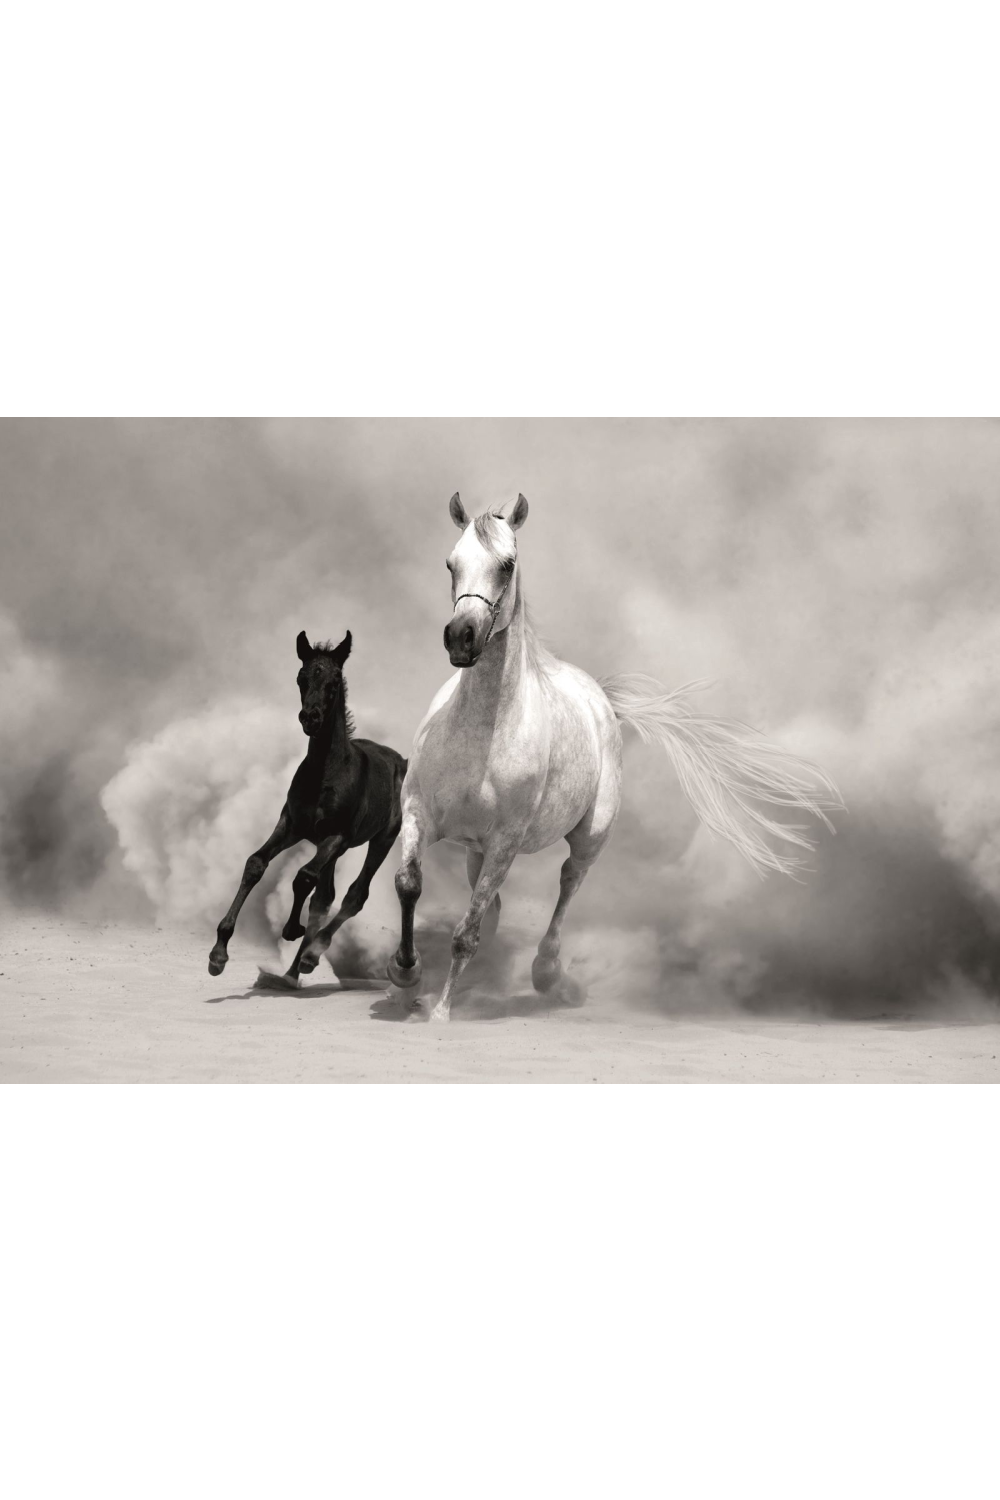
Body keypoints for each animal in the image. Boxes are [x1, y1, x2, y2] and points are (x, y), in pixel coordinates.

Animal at [207, 630, 406, 987]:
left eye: (334, 681)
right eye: (301, 678)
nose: (310, 718)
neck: (325, 773)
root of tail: (400, 759)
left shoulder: (337, 836)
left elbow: (302, 877)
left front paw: (291, 929)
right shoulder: (292, 825)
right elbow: (256, 864)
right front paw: (218, 954)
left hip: (381, 840)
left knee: (353, 894)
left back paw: (311, 955)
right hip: (330, 848)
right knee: (324, 897)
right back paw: (292, 971)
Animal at [335, 491, 842, 1023]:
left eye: (507, 564)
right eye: (451, 563)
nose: (461, 637)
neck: (481, 734)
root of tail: (603, 700)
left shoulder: (505, 843)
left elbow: (465, 933)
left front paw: (441, 1011)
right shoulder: (421, 815)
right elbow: (410, 883)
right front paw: (404, 974)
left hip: (588, 839)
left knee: (566, 884)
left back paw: (547, 974)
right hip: (477, 847)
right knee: (491, 901)